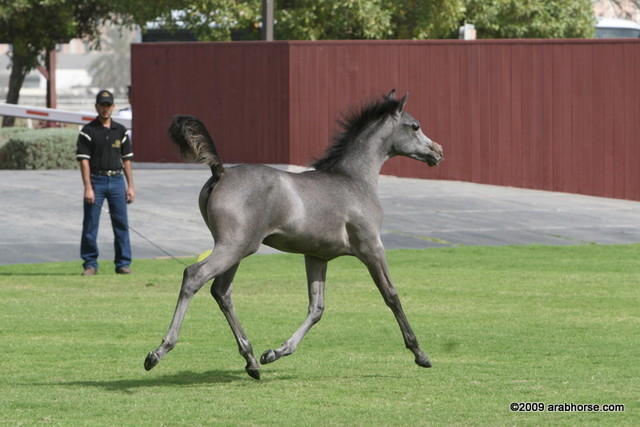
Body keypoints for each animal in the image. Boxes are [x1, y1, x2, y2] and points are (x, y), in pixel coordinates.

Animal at [144, 90, 444, 379]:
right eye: (415, 126)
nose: (438, 151)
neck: (354, 181)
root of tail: (221, 173)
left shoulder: (316, 256)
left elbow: (317, 308)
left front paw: (275, 352)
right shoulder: (372, 248)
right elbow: (391, 295)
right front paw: (420, 354)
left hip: (236, 249)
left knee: (222, 292)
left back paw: (252, 361)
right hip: (233, 246)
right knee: (194, 276)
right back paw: (158, 352)